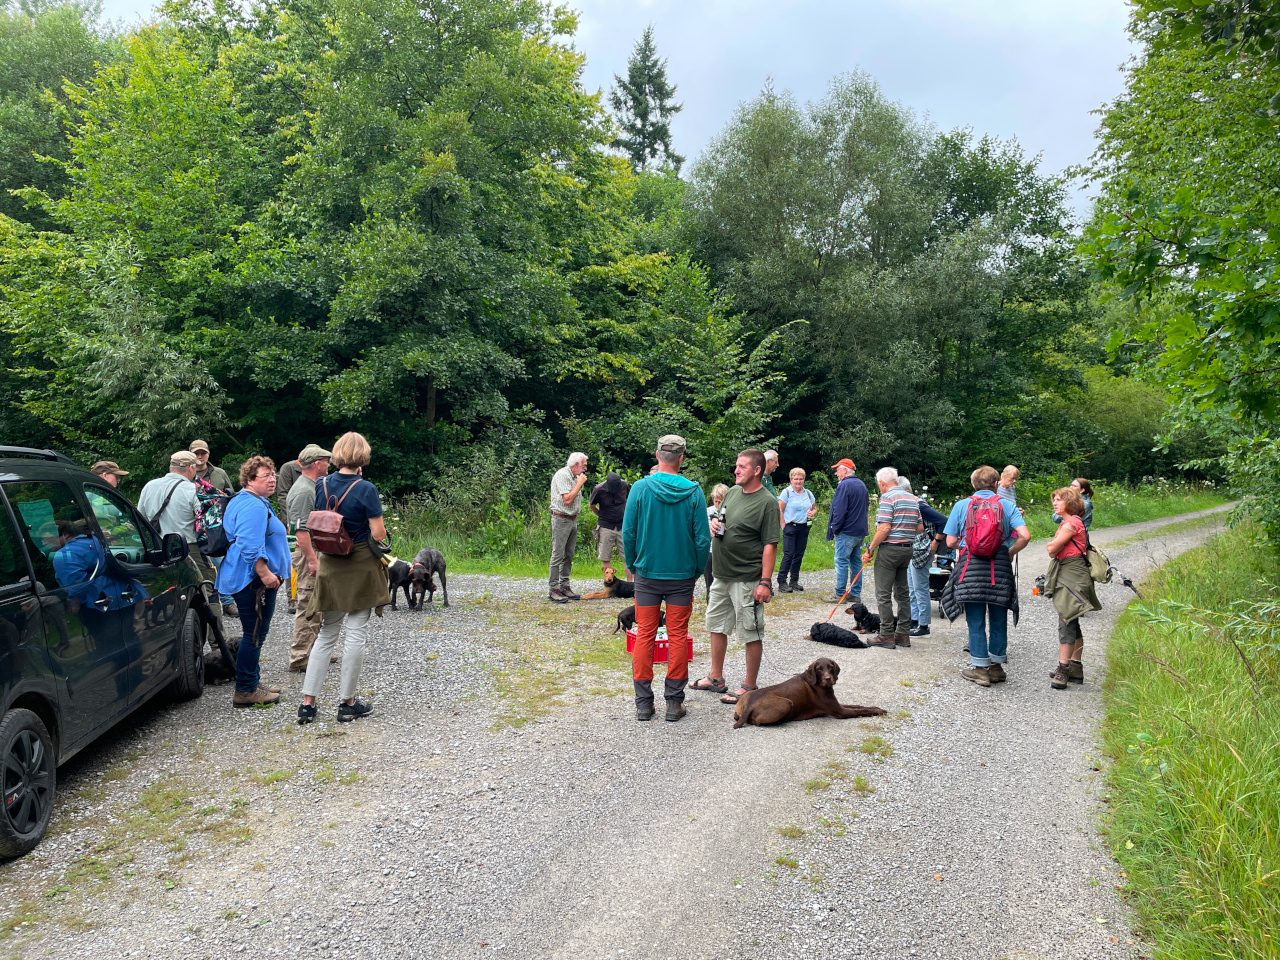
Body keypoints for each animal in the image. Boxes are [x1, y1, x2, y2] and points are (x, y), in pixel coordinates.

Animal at [737, 660, 885, 732]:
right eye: (819, 669)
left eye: (831, 667)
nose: (828, 679)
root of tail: (749, 705)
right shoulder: (840, 712)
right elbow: (861, 711)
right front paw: (879, 711)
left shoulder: (837, 705)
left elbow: (858, 705)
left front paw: (875, 707)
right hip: (787, 703)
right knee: (757, 722)